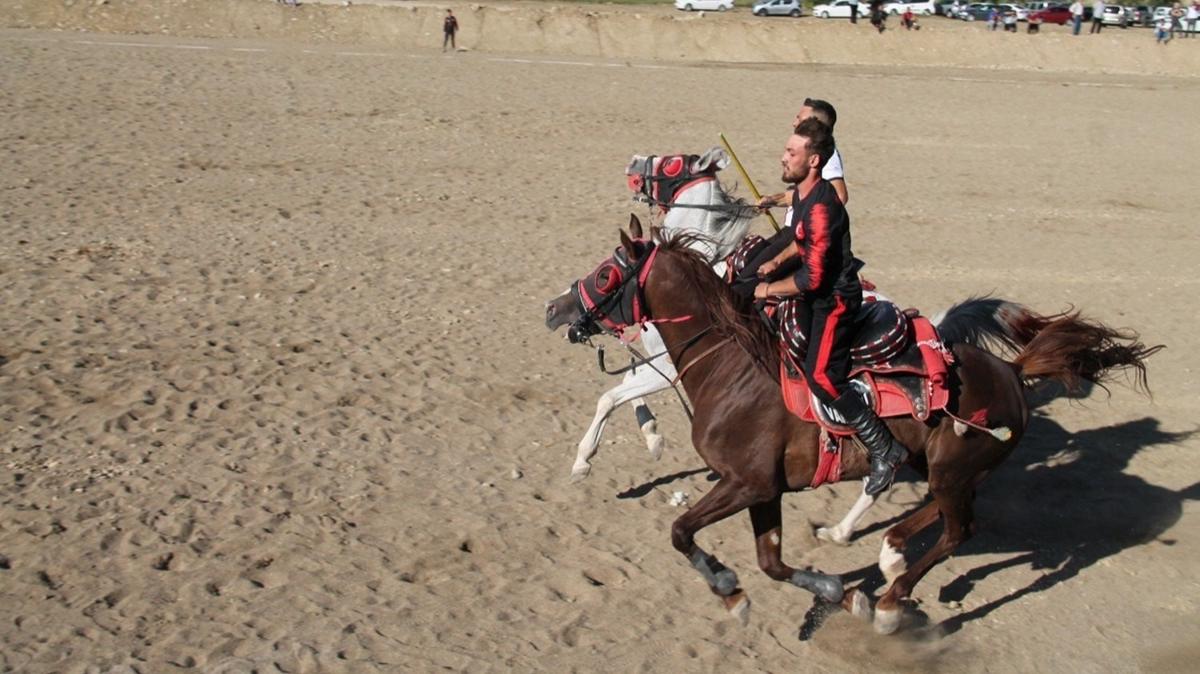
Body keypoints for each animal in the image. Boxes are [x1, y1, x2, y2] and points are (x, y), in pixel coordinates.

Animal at [547, 218, 1161, 633]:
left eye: (607, 272)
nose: (556, 310)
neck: (732, 367)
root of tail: (1011, 370)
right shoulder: (763, 490)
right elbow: (771, 563)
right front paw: (832, 590)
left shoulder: (747, 482)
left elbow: (682, 532)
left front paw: (729, 589)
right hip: (943, 467)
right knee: (936, 512)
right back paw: (886, 553)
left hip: (952, 468)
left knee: (958, 529)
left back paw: (891, 598)